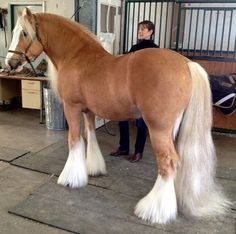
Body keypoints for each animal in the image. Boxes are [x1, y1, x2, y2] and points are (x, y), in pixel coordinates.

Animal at [5, 8, 230, 225]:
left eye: (24, 33)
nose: (10, 63)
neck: (76, 56)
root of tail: (186, 63)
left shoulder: (72, 108)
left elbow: (74, 140)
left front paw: (70, 178)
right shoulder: (88, 111)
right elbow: (90, 136)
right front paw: (92, 168)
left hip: (158, 128)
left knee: (167, 162)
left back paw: (154, 211)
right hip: (174, 130)